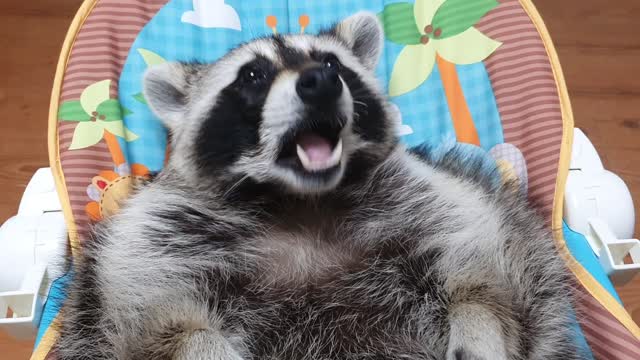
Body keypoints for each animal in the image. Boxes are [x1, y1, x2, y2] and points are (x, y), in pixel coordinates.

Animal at [56, 11, 584, 360]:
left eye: (332, 64)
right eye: (254, 74)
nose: (319, 82)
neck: (301, 201)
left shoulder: (435, 206)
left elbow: (485, 282)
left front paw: (479, 322)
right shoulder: (151, 247)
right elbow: (166, 324)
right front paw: (199, 342)